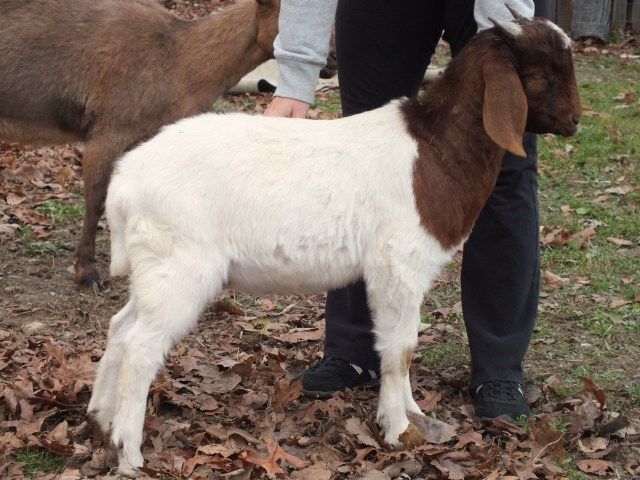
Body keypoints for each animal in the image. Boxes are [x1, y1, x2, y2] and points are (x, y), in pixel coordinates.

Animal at [88, 15, 581, 476]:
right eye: (539, 75)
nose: (575, 120)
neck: (434, 150)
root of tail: (125, 181)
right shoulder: (397, 263)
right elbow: (400, 347)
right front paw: (398, 429)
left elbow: (403, 342)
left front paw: (415, 414)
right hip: (181, 265)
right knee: (140, 349)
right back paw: (129, 453)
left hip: (155, 265)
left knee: (120, 326)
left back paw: (100, 417)